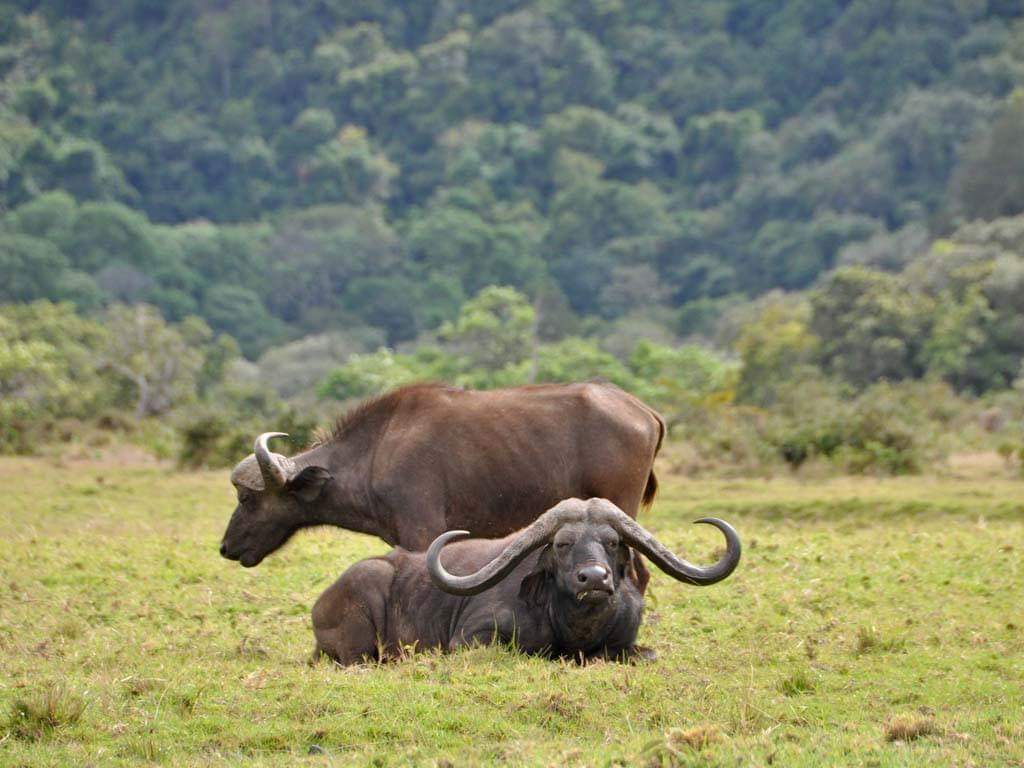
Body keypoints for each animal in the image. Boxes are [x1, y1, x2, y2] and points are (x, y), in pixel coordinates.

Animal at [307, 495, 741, 663]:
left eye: (613, 541)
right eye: (562, 543)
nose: (593, 579)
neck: (574, 630)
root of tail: (320, 605)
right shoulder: (471, 639)